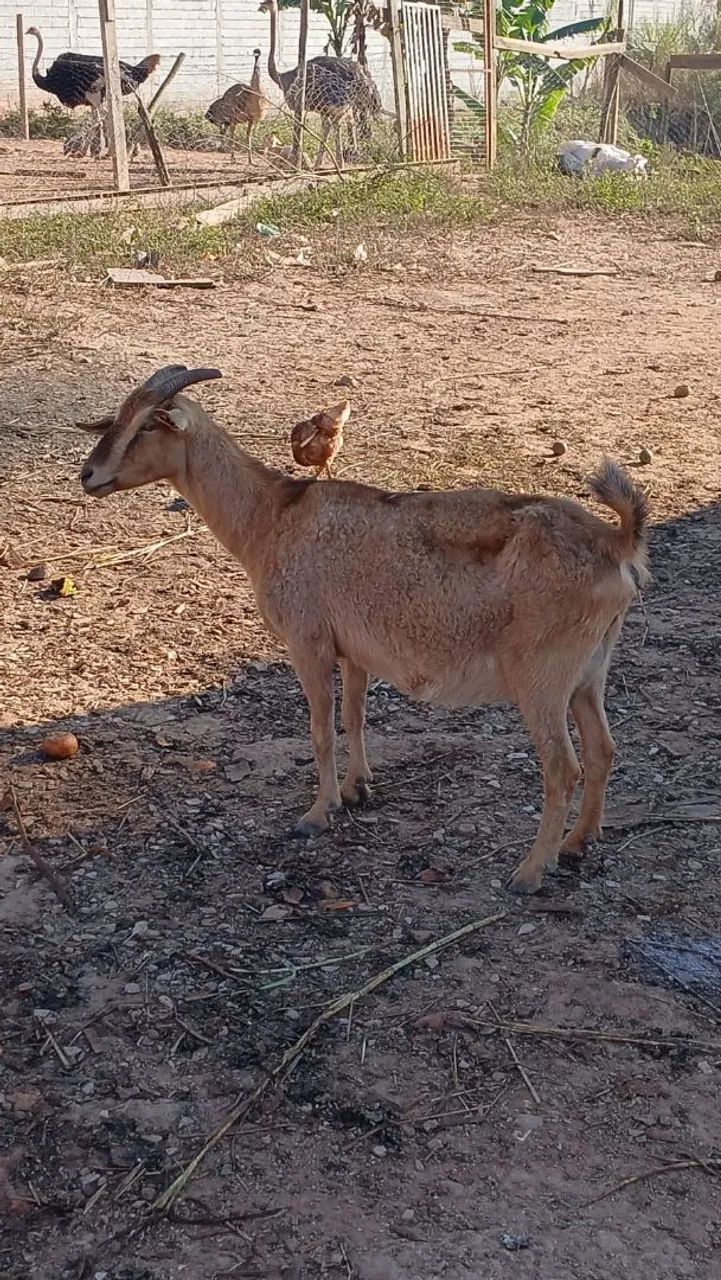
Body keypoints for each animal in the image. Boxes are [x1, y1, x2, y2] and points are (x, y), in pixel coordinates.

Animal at [78, 366, 649, 894]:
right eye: (118, 418)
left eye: (147, 425)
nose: (89, 475)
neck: (273, 517)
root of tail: (618, 544)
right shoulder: (352, 649)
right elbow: (354, 716)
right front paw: (357, 790)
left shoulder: (307, 641)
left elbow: (321, 727)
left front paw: (317, 813)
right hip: (589, 671)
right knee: (603, 749)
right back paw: (578, 842)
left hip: (542, 677)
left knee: (562, 767)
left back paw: (530, 872)